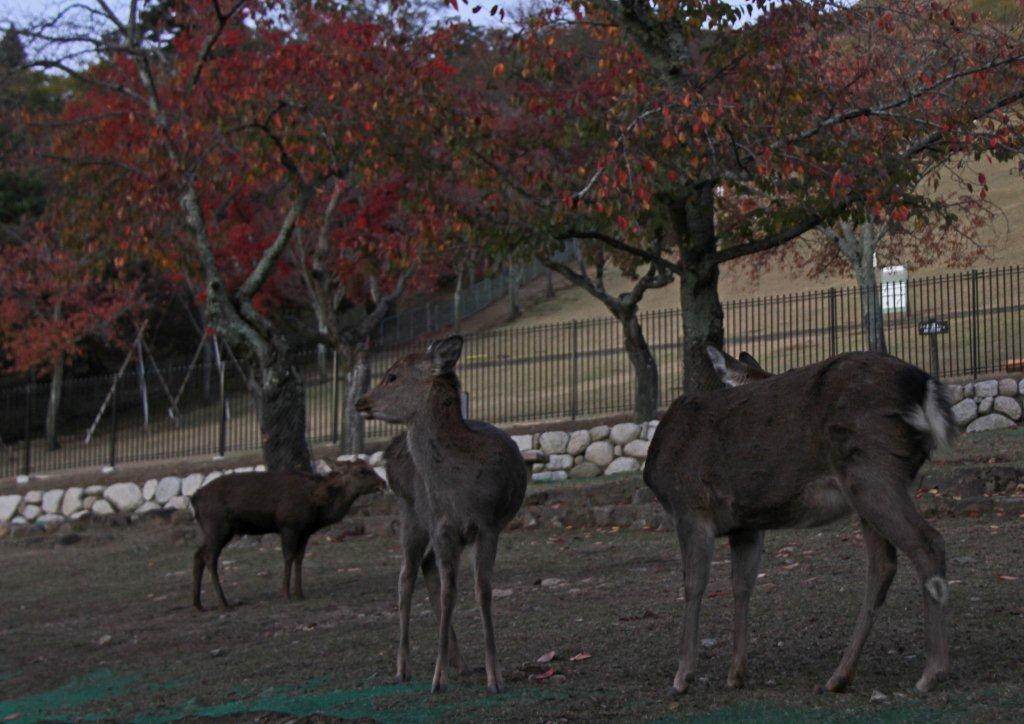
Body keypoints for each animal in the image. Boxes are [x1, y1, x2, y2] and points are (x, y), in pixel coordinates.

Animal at [354, 337, 528, 692]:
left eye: (392, 375)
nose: (360, 402)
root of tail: (390, 453)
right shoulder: (441, 524)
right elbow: (451, 593)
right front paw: (437, 679)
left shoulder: (488, 526)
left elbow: (482, 591)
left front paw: (495, 677)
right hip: (410, 512)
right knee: (406, 575)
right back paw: (403, 668)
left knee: (426, 567)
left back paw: (461, 664)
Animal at [647, 348, 958, 700]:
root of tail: (924, 385)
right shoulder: (746, 524)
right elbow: (742, 585)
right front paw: (736, 674)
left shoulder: (689, 507)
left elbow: (693, 585)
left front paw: (682, 676)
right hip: (874, 483)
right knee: (883, 564)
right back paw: (840, 676)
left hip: (871, 469)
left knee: (927, 543)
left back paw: (932, 672)